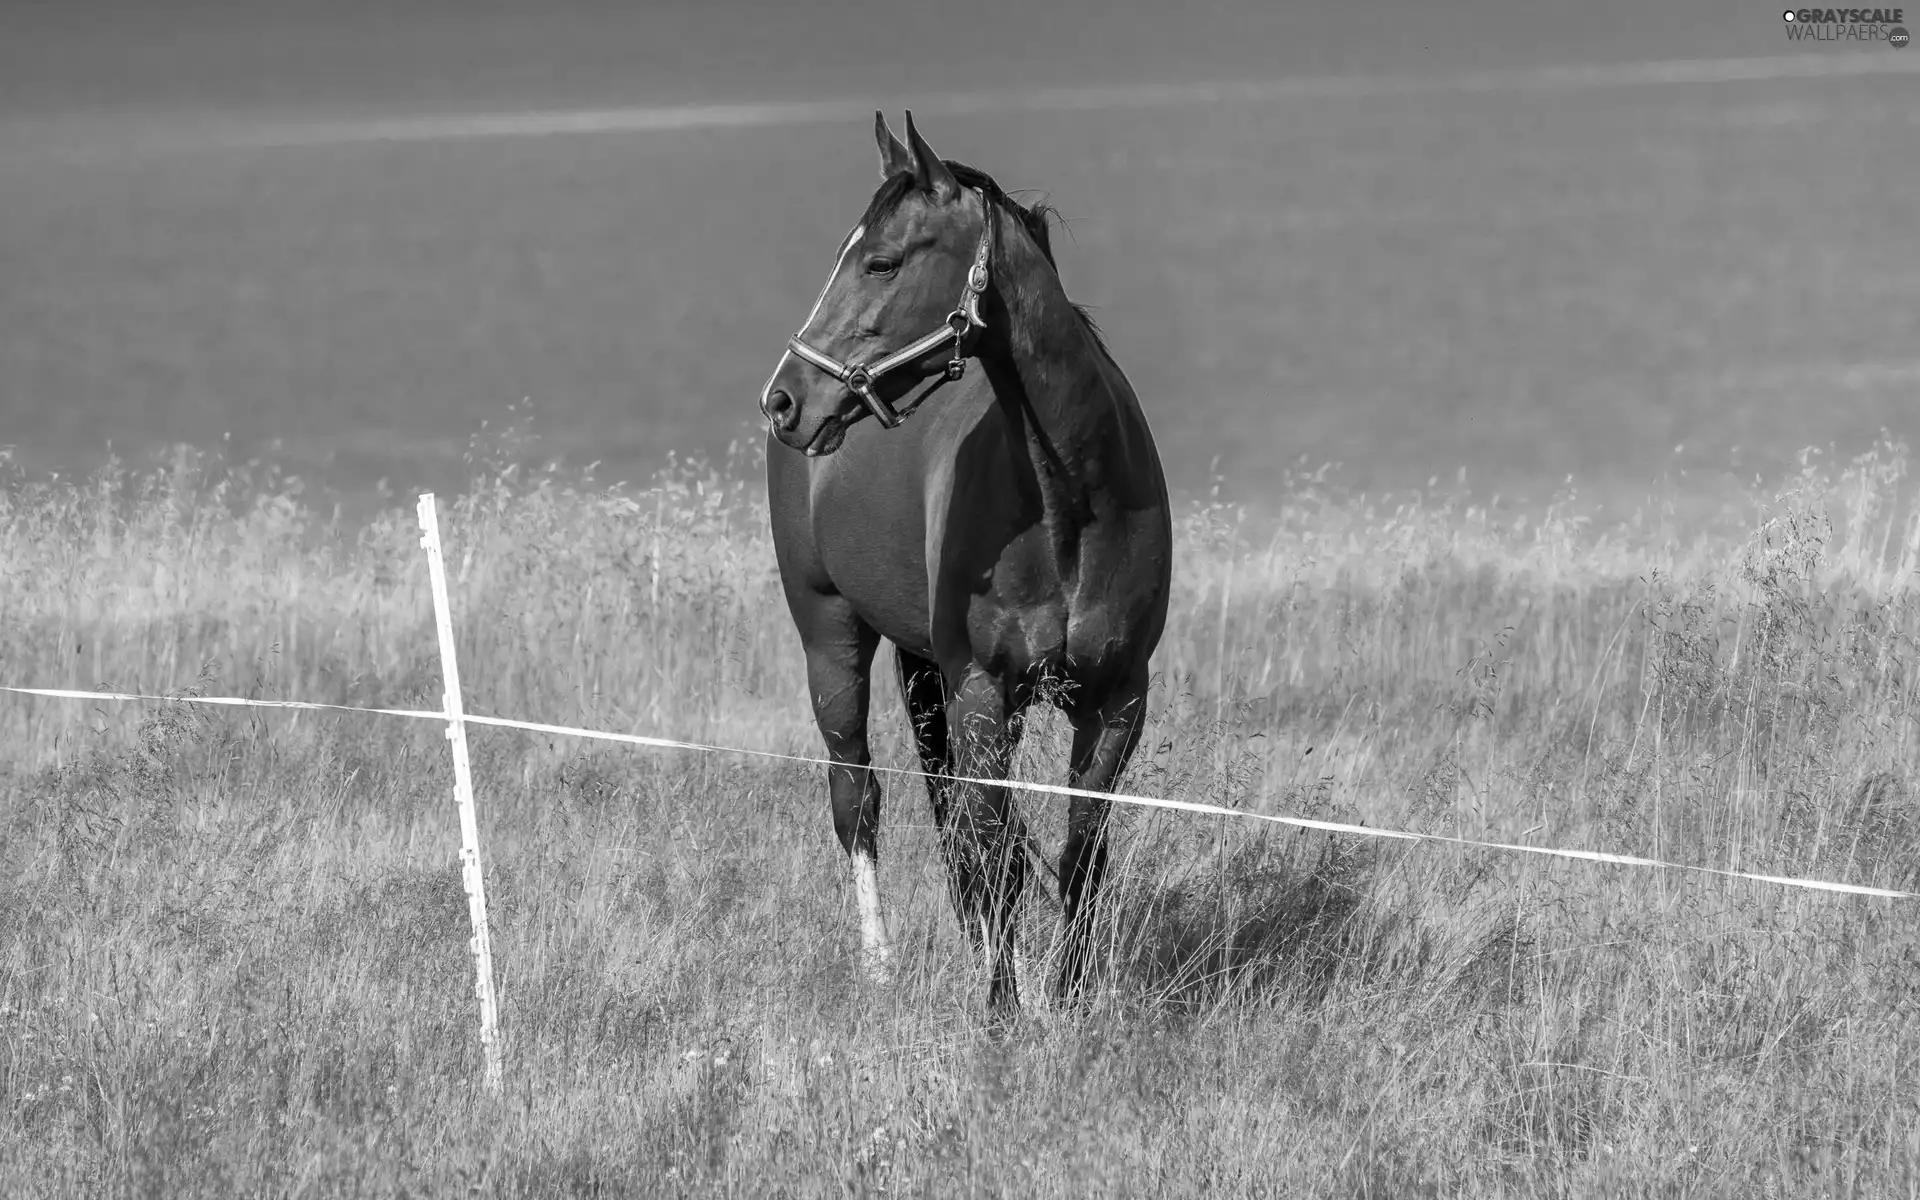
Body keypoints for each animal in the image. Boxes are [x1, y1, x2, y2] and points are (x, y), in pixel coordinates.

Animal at [760, 109, 1167, 1013]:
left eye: (881, 261)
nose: (783, 399)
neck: (1070, 500)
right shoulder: (983, 690)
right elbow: (999, 857)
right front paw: (1002, 1011)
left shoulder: (1117, 700)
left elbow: (1078, 856)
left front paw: (1067, 997)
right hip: (832, 639)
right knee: (860, 798)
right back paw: (880, 967)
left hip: (923, 668)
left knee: (950, 814)